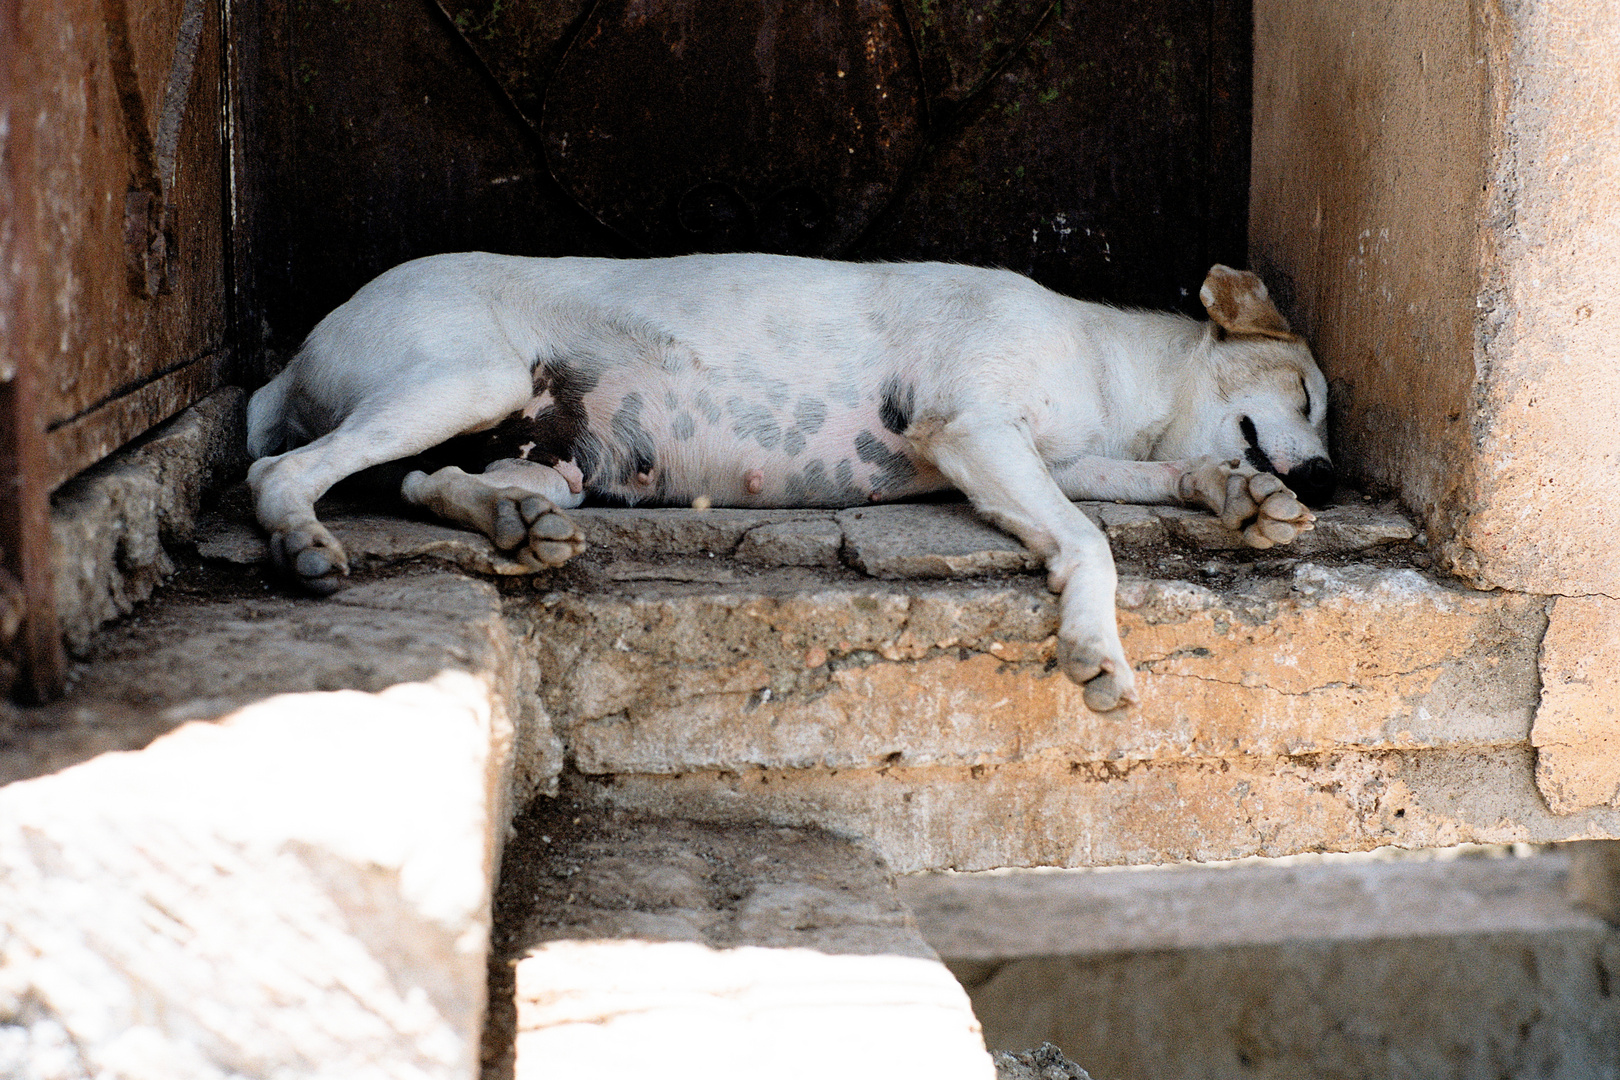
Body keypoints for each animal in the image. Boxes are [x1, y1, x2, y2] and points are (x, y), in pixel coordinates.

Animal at [243, 252, 1328, 709]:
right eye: (1312, 395)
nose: (1327, 470)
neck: (1112, 361)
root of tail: (289, 362)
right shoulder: (976, 433)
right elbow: (1091, 540)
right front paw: (1095, 647)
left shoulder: (1059, 460)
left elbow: (1166, 473)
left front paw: (1243, 497)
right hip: (468, 377)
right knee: (278, 469)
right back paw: (303, 542)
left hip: (553, 458)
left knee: (427, 484)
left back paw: (511, 520)